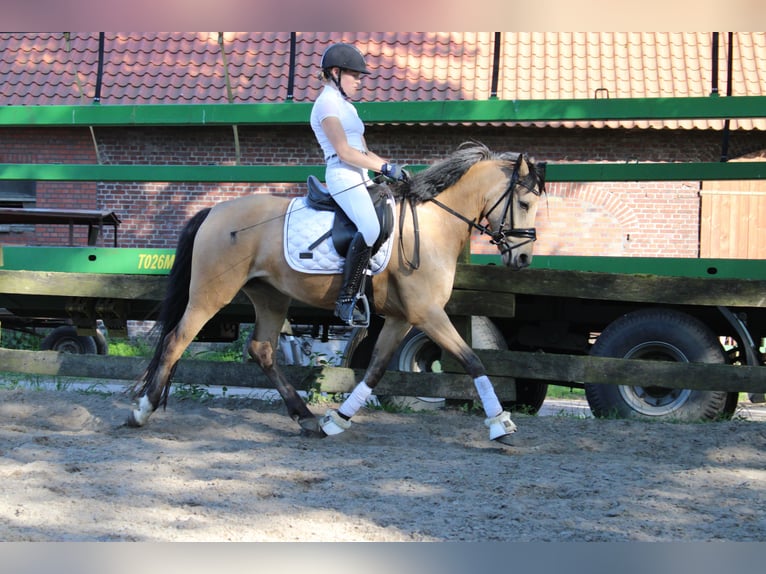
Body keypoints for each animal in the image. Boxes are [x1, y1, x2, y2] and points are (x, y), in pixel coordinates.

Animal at [126, 142, 544, 448]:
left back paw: (306, 418)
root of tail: (214, 211)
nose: (523, 258)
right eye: (524, 204)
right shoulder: (427, 313)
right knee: (177, 339)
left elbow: (375, 369)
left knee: (262, 350)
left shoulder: (401, 317)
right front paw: (501, 424)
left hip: (271, 296)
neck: (432, 224)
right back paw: (141, 410)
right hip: (211, 294)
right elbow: (473, 360)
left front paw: (337, 420)